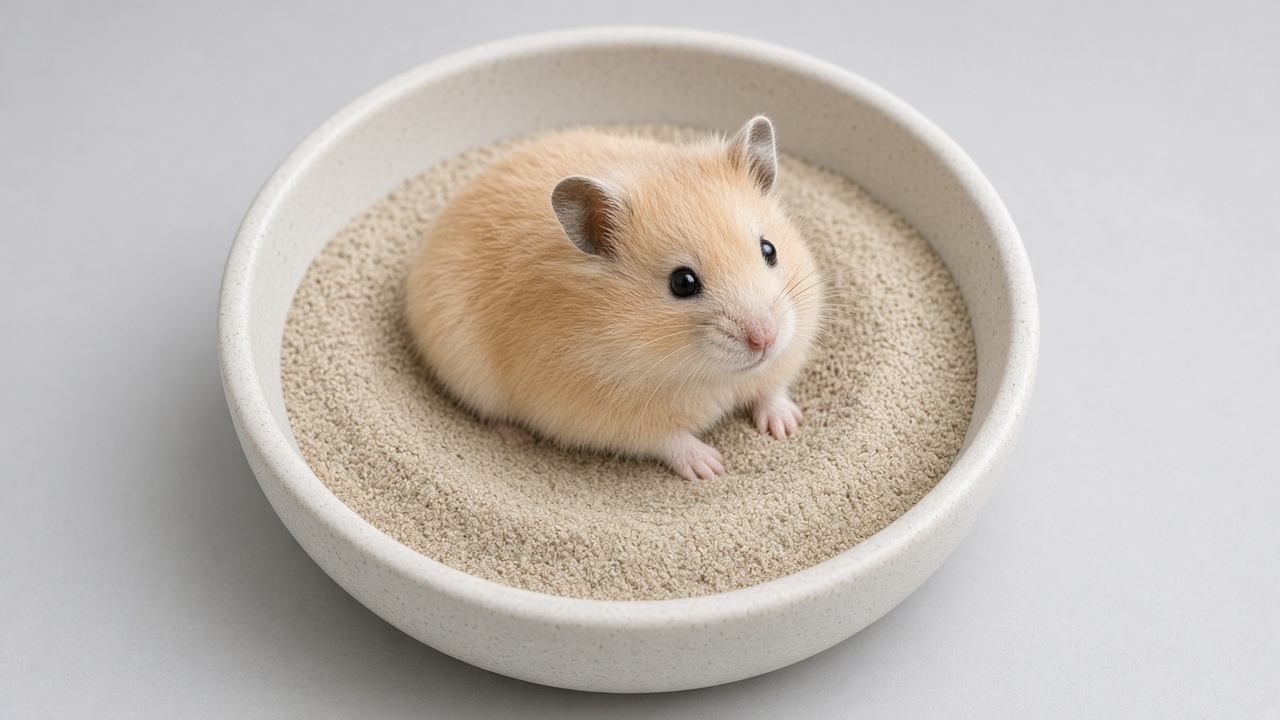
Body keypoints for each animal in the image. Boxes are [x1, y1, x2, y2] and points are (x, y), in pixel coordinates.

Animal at [404, 116, 822, 480]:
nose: (765, 339)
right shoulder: (611, 420)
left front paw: (788, 425)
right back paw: (516, 436)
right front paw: (711, 467)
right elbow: (670, 440)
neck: (709, 374)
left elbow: (772, 390)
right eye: (683, 283)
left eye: (769, 250)